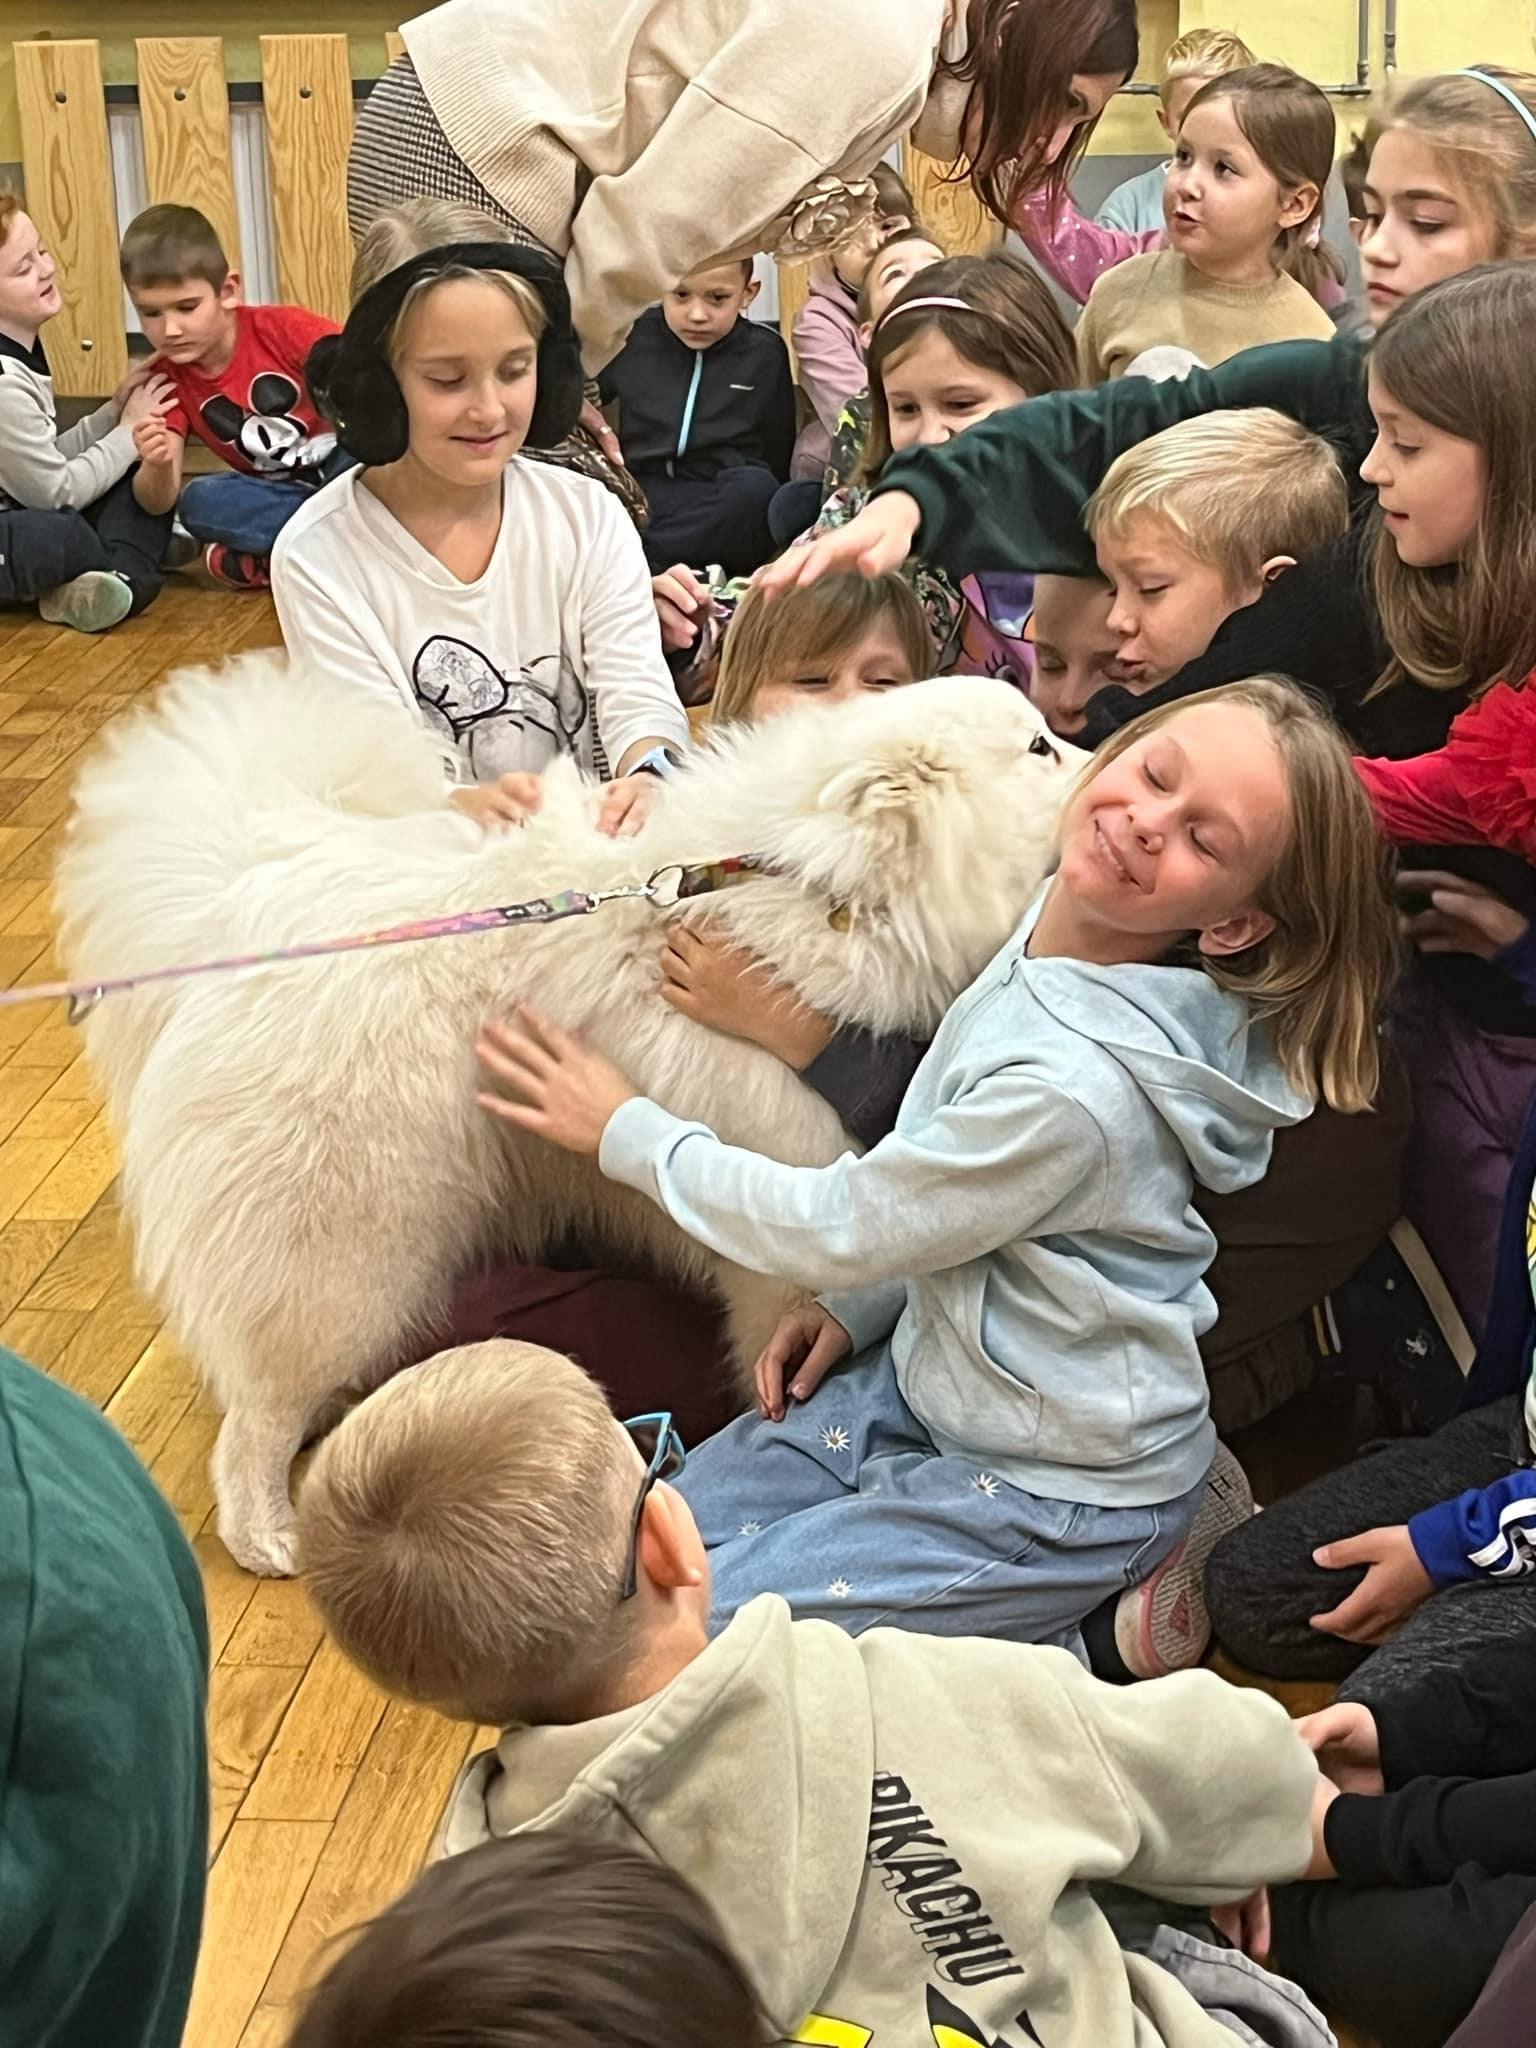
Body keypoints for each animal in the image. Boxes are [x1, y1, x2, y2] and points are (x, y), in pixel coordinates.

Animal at [57, 663, 1081, 1572]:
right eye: (1039, 745)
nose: (1100, 752)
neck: (814, 892)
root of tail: (234, 907)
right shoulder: (783, 1190)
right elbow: (788, 1310)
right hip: (352, 1243)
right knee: (255, 1418)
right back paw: (267, 1535)